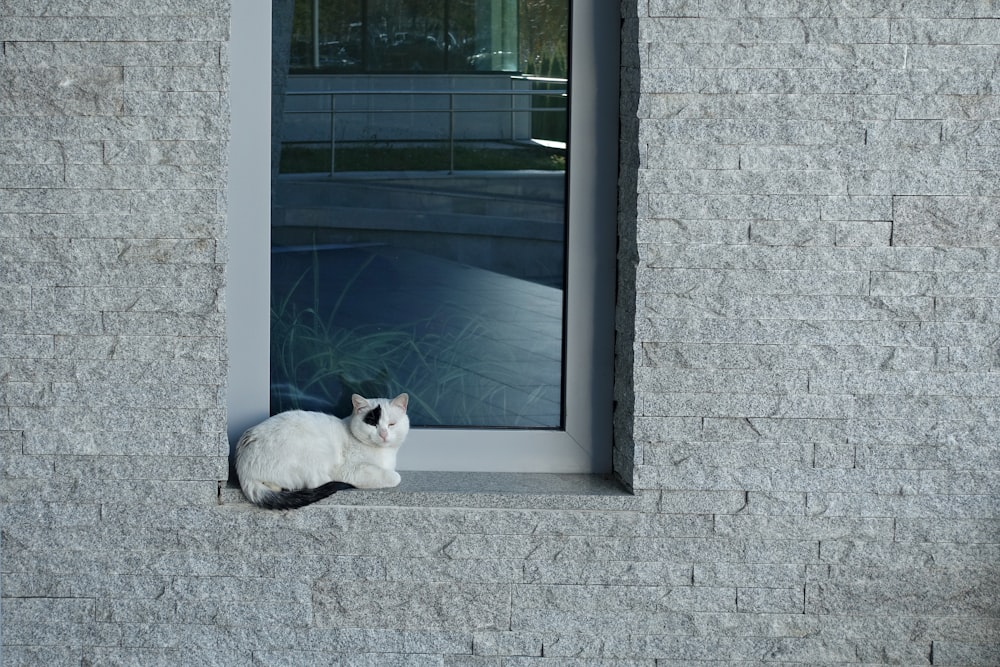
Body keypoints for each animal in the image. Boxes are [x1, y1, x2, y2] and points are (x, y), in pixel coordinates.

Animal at [236, 394, 408, 508]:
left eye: (392, 424)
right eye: (372, 423)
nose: (383, 434)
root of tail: (243, 469)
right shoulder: (349, 469)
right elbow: (395, 476)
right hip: (319, 450)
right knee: (316, 481)